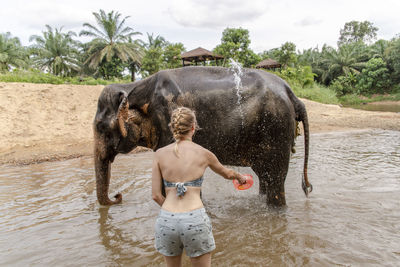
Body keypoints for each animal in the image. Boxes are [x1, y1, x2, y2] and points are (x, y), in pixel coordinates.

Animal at [94, 66, 312, 207]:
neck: (135, 86)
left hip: (276, 129)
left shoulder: (168, 122)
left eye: (100, 127)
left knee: (275, 178)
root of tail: (293, 95)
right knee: (265, 177)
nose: (118, 196)